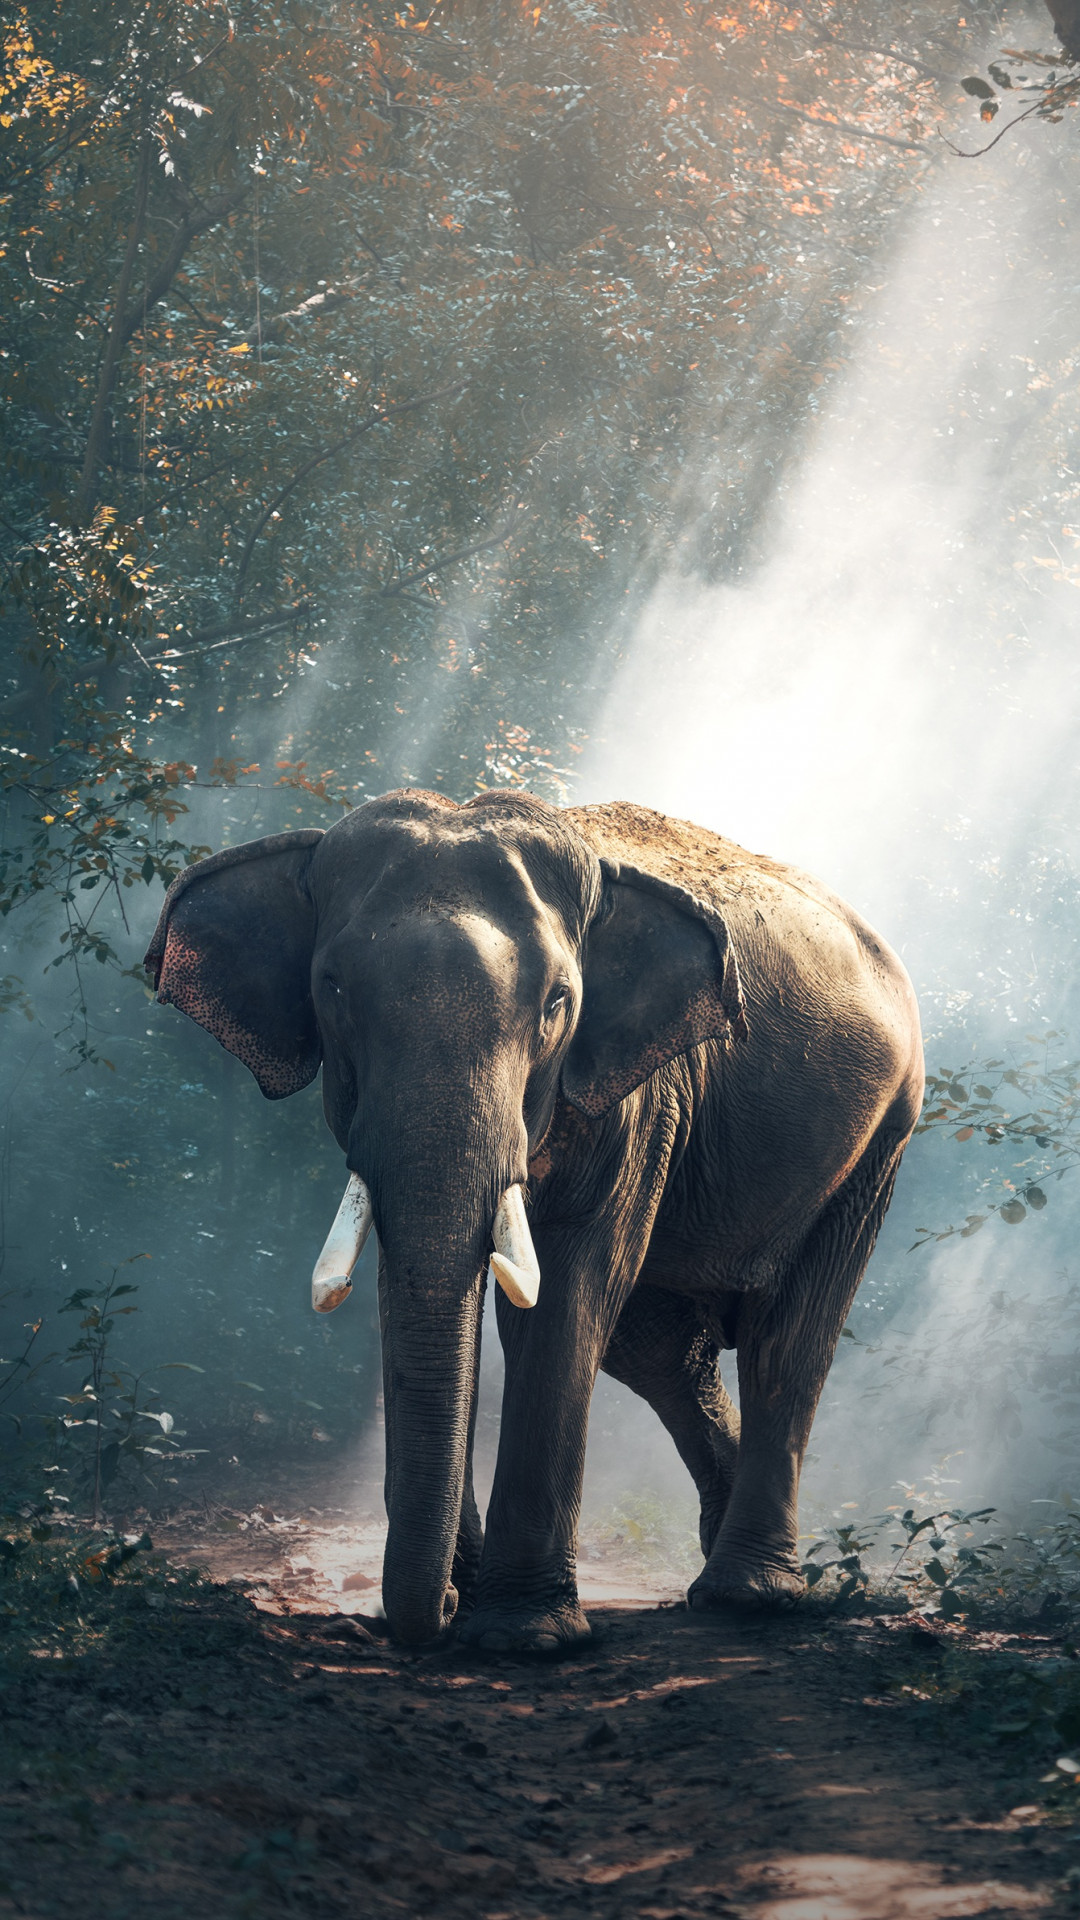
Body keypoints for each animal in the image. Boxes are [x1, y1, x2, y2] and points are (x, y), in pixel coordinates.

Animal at [145, 789, 923, 1651]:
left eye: (557, 1003)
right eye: (333, 990)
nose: (441, 1610)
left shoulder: (640, 1096)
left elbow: (567, 1292)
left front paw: (524, 1636)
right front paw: (471, 1595)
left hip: (880, 1139)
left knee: (787, 1341)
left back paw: (747, 1596)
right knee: (661, 1350)